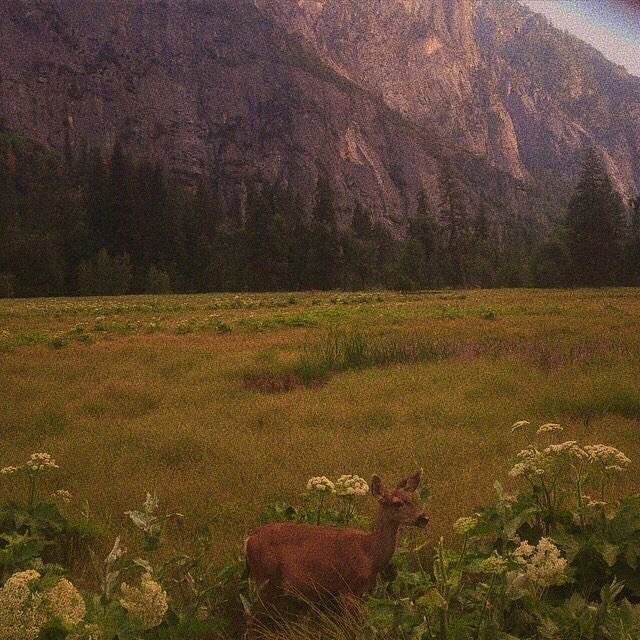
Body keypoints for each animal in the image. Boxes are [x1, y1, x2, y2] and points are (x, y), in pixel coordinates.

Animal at [245, 470, 430, 616]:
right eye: (397, 503)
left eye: (413, 499)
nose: (424, 518)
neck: (370, 554)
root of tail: (249, 538)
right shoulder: (348, 589)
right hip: (266, 579)